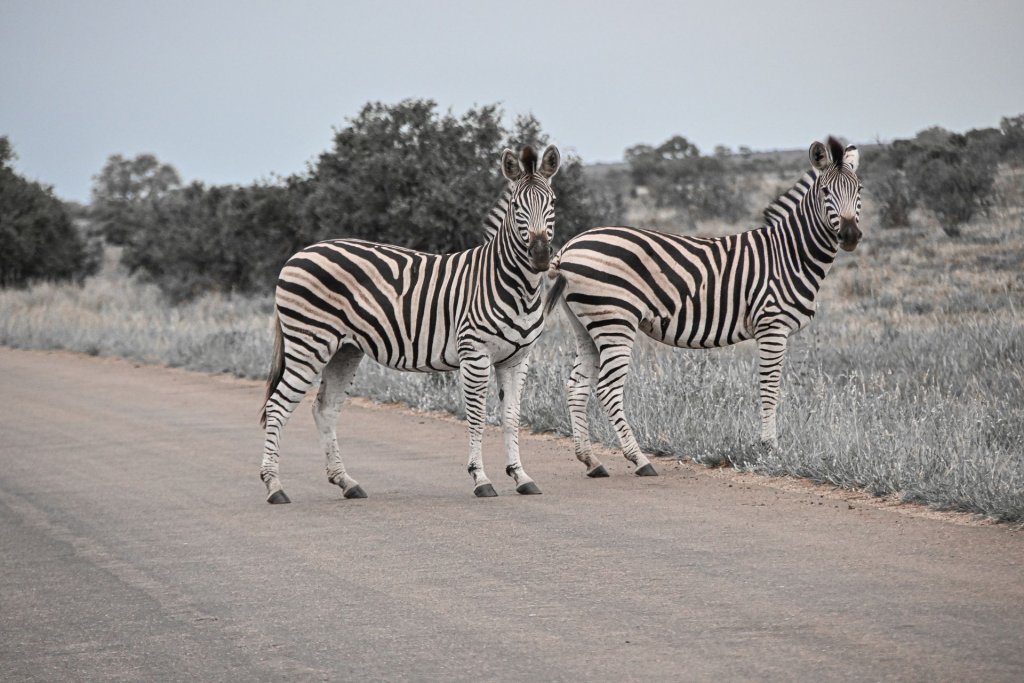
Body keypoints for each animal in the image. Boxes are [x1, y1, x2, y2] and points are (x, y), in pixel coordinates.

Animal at [259, 145, 560, 503]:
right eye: (516, 206)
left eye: (553, 202)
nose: (540, 256)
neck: (512, 284)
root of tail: (298, 254)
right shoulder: (474, 353)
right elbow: (476, 417)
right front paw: (481, 479)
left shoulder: (517, 358)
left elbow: (511, 417)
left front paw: (520, 476)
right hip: (309, 343)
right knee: (277, 406)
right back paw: (275, 486)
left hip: (344, 349)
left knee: (325, 408)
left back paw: (346, 482)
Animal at [544, 138, 862, 477]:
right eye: (825, 191)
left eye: (859, 190)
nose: (850, 236)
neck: (789, 254)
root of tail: (567, 249)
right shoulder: (772, 326)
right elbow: (770, 386)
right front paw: (770, 449)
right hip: (615, 321)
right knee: (606, 388)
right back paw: (639, 459)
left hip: (585, 325)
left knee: (577, 386)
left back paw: (591, 460)